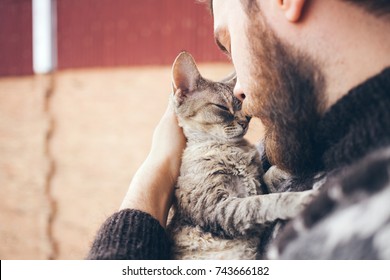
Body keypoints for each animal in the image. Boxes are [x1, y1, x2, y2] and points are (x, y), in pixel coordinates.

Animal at [167, 51, 314, 260]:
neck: (235, 150)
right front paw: (301, 199)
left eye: (245, 109)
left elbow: (267, 177)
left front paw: (289, 168)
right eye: (222, 107)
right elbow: (261, 203)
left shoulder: (255, 185)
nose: (244, 121)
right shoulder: (217, 207)